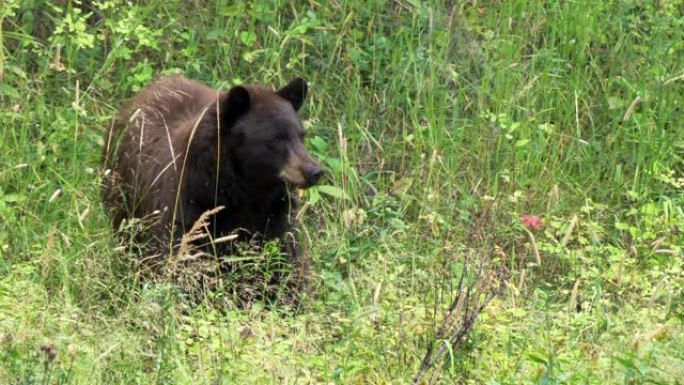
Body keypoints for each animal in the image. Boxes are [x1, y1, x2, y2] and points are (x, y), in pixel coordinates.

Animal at [101, 73, 324, 292]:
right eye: (277, 138)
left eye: (301, 136)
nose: (315, 171)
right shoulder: (188, 208)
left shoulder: (276, 216)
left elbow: (285, 262)